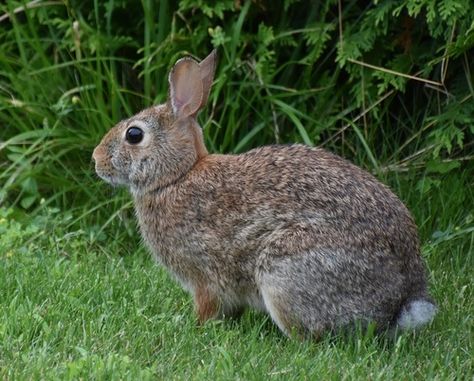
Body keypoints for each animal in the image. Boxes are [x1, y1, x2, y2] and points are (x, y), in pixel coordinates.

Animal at [92, 49, 436, 336]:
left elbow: (207, 306)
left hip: (284, 270)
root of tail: (403, 301)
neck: (177, 176)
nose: (95, 160)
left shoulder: (203, 275)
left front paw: (196, 327)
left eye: (134, 135)